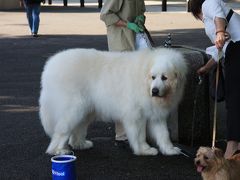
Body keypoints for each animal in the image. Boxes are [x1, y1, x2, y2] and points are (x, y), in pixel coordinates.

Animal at [39, 47, 188, 156]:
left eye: (164, 77)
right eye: (153, 77)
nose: (155, 91)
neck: (144, 80)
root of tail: (50, 67)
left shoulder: (155, 113)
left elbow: (163, 134)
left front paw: (170, 150)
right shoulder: (136, 114)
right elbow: (140, 134)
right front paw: (144, 150)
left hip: (86, 111)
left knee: (77, 129)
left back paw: (80, 144)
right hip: (74, 108)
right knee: (62, 130)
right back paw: (58, 150)